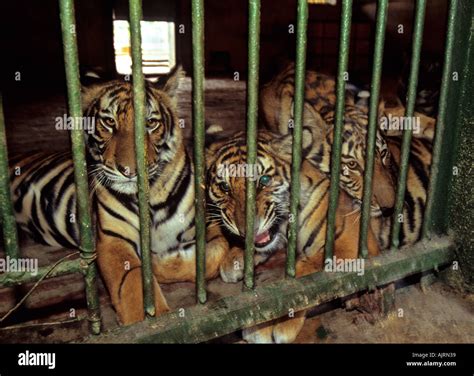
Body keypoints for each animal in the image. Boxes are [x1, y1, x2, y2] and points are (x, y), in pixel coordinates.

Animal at [206, 128, 380, 342]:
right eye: (224, 187)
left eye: (264, 180)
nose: (245, 229)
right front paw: (234, 260)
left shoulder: (349, 240)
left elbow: (302, 281)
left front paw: (270, 326)